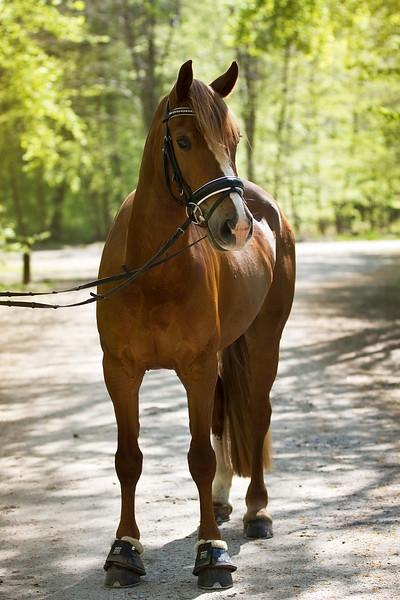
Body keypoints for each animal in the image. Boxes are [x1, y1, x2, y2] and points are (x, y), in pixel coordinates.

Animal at [96, 61, 296, 592]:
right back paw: (225, 500)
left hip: (263, 341)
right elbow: (128, 460)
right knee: (227, 415)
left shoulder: (197, 368)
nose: (237, 225)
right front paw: (125, 551)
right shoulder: (120, 371)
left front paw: (212, 553)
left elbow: (200, 458)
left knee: (257, 413)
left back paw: (256, 511)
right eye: (184, 142)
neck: (150, 270)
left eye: (234, 139)